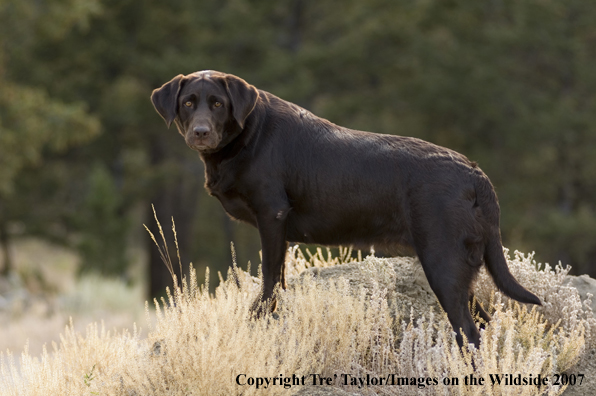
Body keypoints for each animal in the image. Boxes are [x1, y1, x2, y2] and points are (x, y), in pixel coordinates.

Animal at [152, 70, 540, 346]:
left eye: (218, 104)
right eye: (188, 103)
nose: (201, 132)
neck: (249, 134)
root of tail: (475, 173)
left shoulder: (271, 215)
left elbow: (269, 278)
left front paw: (258, 318)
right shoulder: (280, 228)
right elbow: (279, 279)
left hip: (443, 264)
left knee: (470, 334)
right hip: (461, 271)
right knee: (484, 326)